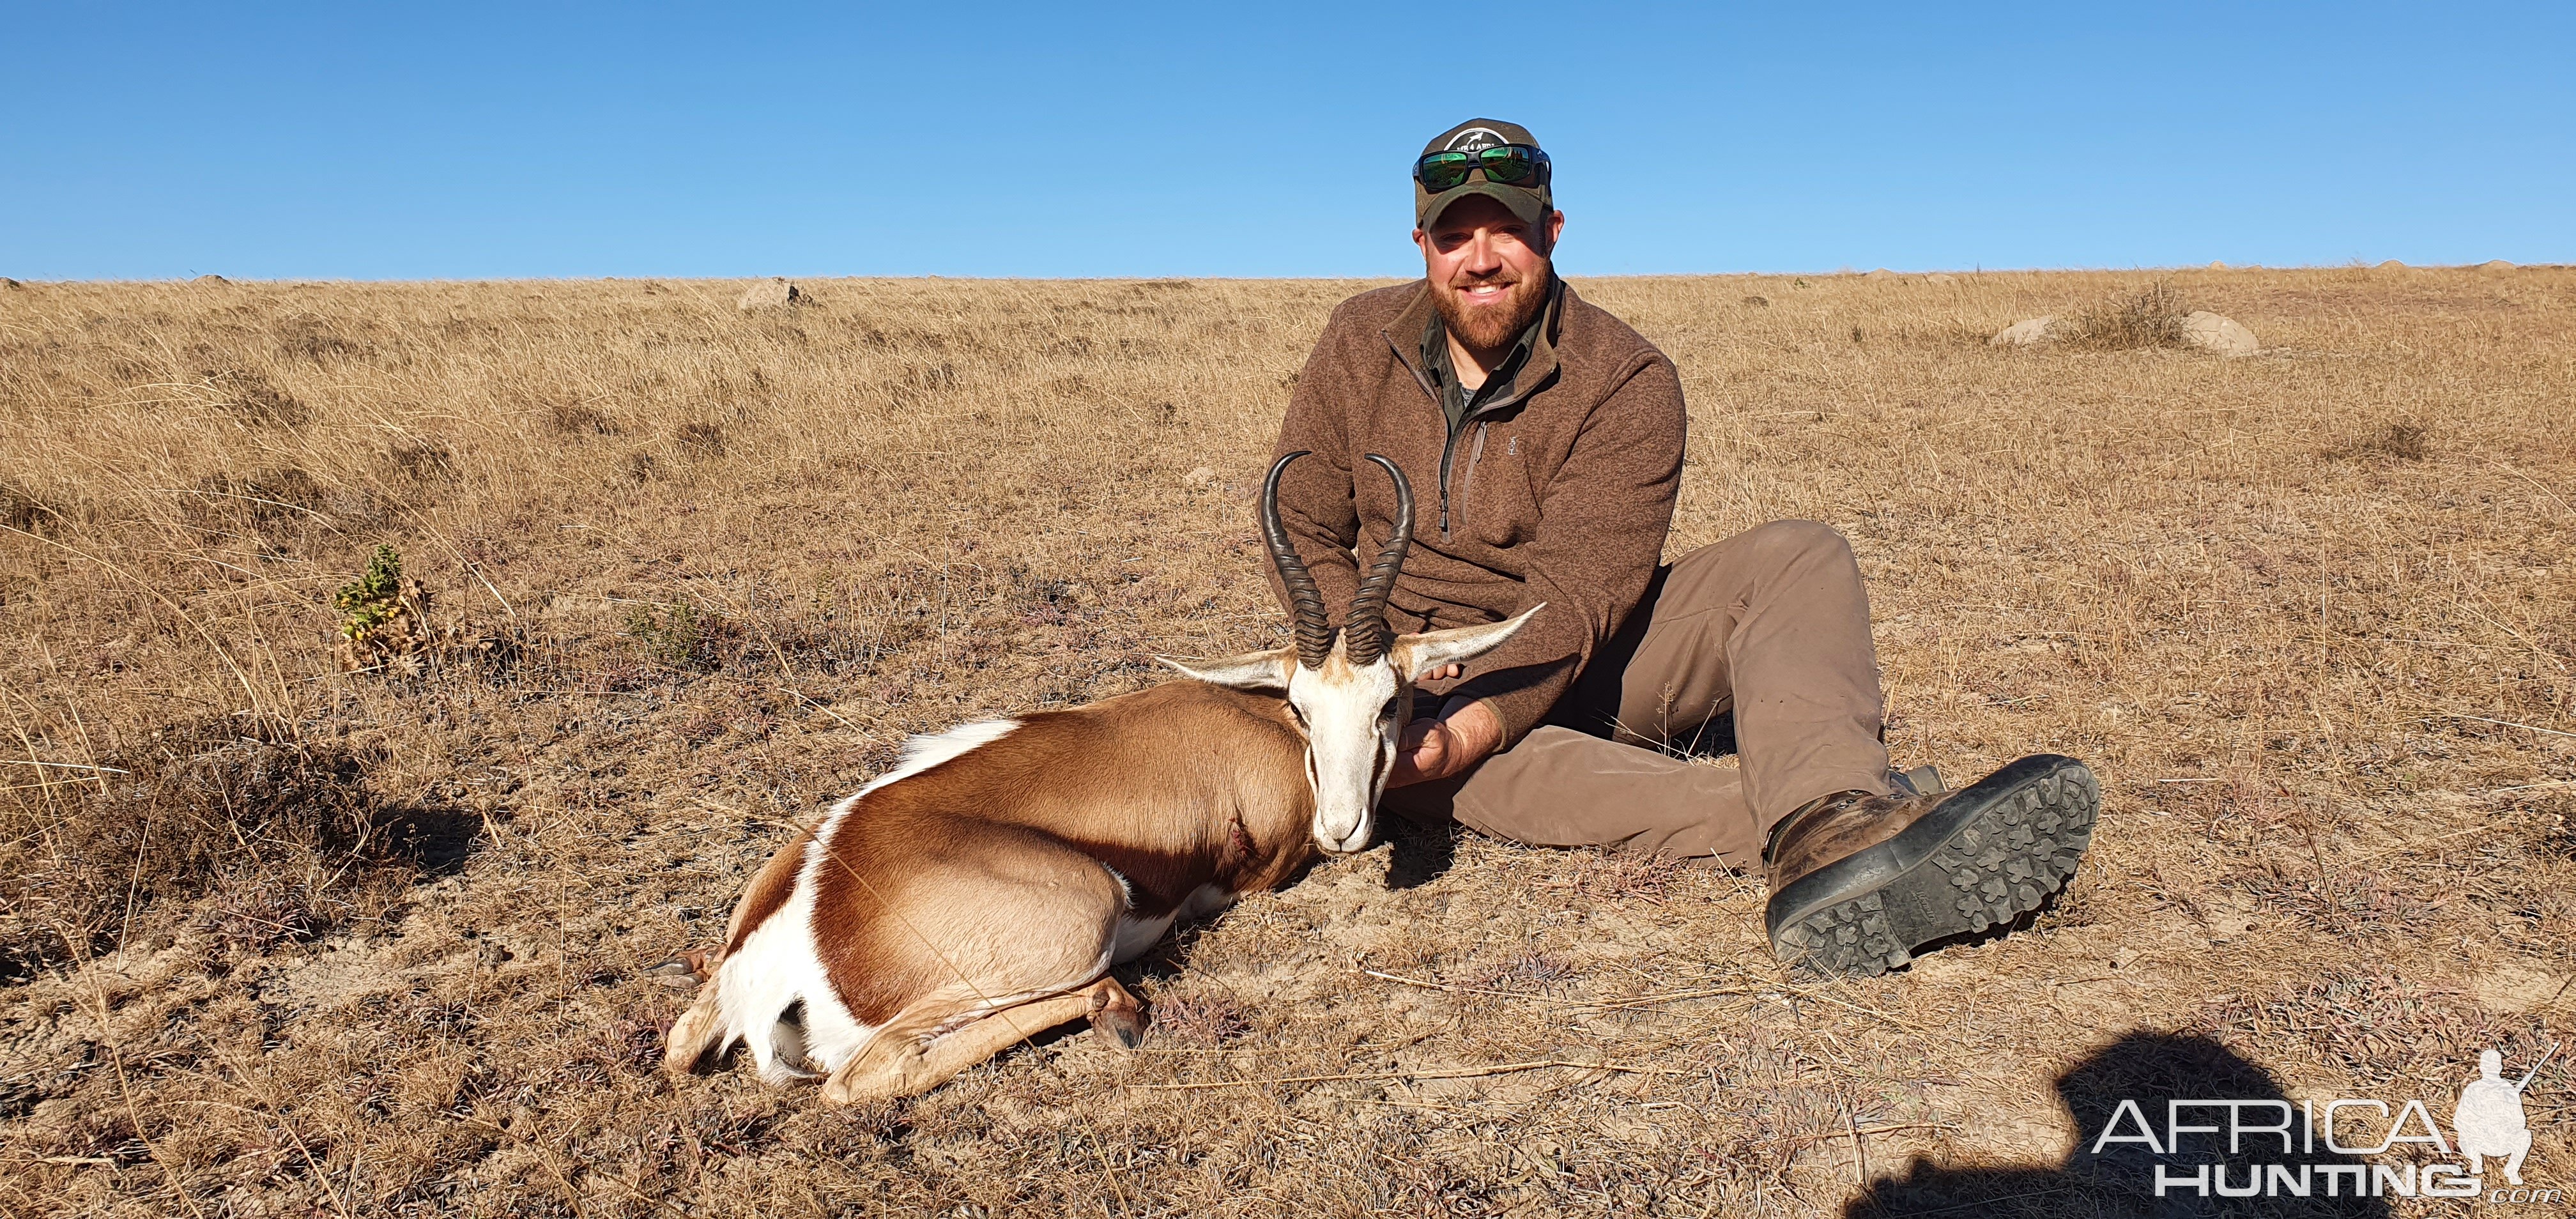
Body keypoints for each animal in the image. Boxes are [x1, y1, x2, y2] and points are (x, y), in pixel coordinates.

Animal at [675, 450, 1535, 1098]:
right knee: (862, 1075)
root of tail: (810, 914)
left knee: (684, 1039)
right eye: (1302, 704)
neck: (1263, 725)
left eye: (1388, 703)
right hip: (1080, 922)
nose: (1343, 827)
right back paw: (1115, 1007)